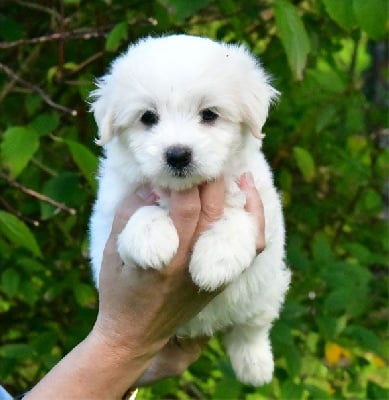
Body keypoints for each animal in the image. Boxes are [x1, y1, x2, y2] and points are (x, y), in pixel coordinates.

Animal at [89, 36, 290, 386]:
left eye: (209, 114)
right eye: (148, 117)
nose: (178, 155)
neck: (184, 190)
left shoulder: (258, 203)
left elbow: (238, 219)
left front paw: (214, 261)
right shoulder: (107, 223)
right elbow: (140, 213)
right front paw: (151, 240)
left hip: (267, 290)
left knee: (251, 329)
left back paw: (255, 366)